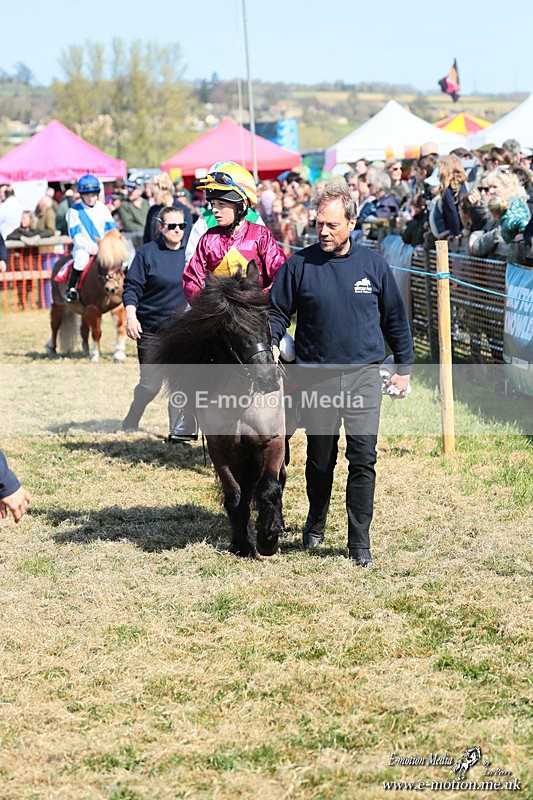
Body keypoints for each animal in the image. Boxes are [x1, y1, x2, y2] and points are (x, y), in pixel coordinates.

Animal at [46, 229, 129, 362]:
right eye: (101, 262)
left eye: (120, 262)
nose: (111, 288)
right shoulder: (93, 309)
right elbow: (96, 332)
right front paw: (95, 354)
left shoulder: (118, 306)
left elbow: (121, 327)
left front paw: (119, 354)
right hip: (59, 305)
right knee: (55, 325)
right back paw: (51, 349)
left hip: (83, 310)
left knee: (83, 330)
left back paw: (86, 351)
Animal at [152, 261, 287, 558]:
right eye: (230, 326)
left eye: (265, 317)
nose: (268, 379)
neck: (242, 402)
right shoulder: (219, 447)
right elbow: (235, 494)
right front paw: (242, 543)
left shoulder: (274, 441)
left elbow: (269, 488)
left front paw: (268, 538)